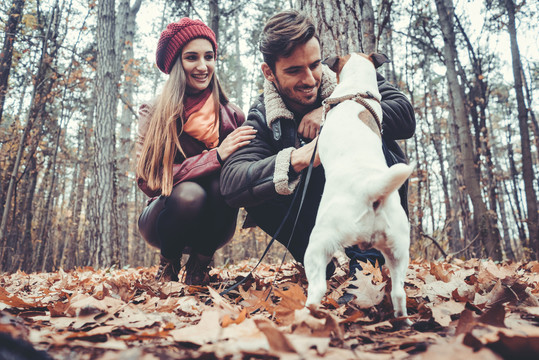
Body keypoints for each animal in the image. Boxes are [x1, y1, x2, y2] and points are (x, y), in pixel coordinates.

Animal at [304, 52, 414, 320]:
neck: (356, 91)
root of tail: (370, 191)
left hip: (318, 245)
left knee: (317, 289)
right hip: (398, 250)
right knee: (398, 292)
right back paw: (402, 319)